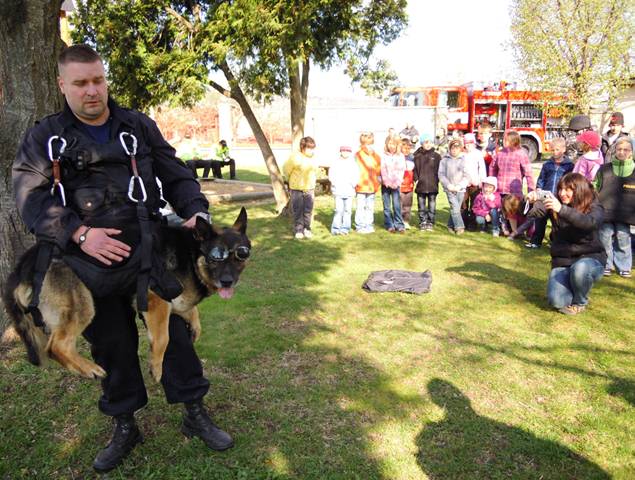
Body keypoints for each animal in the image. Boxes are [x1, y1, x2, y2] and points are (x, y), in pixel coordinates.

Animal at [3, 208, 251, 380]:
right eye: (216, 257)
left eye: (241, 255)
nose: (228, 282)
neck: (192, 253)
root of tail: (21, 267)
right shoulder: (156, 298)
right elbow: (163, 338)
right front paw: (156, 367)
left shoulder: (173, 301)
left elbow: (191, 312)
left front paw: (195, 327)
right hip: (82, 308)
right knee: (56, 346)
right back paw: (89, 369)